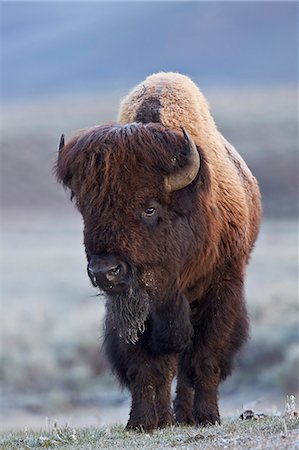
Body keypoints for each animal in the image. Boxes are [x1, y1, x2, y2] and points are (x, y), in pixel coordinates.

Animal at [56, 73, 262, 432]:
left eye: (149, 209)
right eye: (87, 211)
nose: (105, 271)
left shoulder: (222, 288)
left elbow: (204, 358)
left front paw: (207, 417)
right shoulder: (133, 310)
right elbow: (147, 368)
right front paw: (140, 422)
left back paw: (187, 415)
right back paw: (168, 418)